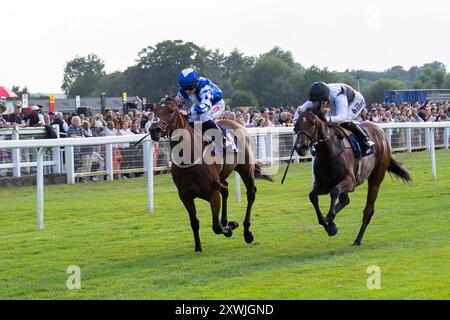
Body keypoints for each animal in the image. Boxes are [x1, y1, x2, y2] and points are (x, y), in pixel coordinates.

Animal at [149, 96, 272, 251]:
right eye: (154, 111)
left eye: (171, 111)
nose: (154, 130)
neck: (189, 158)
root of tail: (239, 124)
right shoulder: (184, 195)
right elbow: (194, 222)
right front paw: (198, 247)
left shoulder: (213, 193)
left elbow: (216, 227)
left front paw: (230, 228)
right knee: (226, 189)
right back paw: (227, 221)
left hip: (246, 169)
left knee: (251, 193)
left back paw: (247, 232)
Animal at [296, 111, 412, 246]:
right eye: (296, 125)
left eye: (312, 124)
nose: (300, 147)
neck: (328, 152)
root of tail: (380, 131)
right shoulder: (323, 184)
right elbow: (313, 196)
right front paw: (327, 224)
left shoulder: (350, 182)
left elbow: (334, 192)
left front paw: (331, 224)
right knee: (345, 200)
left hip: (376, 178)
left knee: (368, 210)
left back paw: (357, 239)